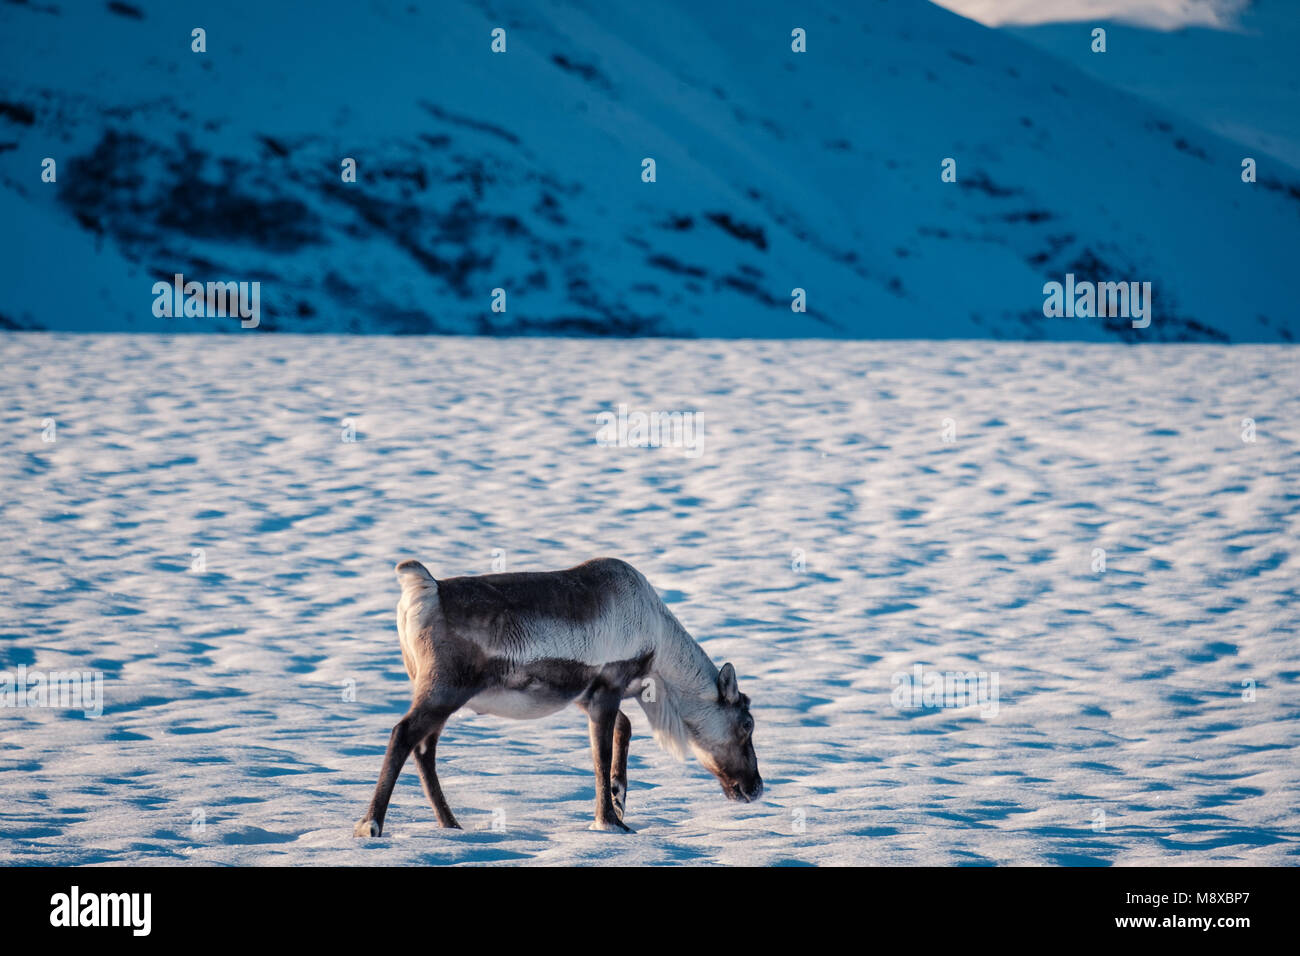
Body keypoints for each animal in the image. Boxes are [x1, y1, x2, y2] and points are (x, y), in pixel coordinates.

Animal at [353, 557, 762, 835]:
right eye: (747, 724)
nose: (755, 788)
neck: (659, 651)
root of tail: (426, 588)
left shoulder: (586, 694)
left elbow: (624, 729)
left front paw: (619, 797)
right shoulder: (608, 687)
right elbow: (601, 754)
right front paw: (610, 821)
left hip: (438, 693)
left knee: (424, 748)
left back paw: (451, 824)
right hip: (444, 689)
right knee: (404, 735)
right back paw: (371, 825)